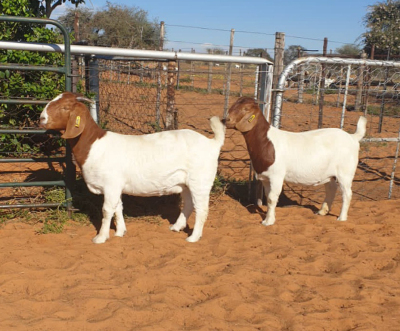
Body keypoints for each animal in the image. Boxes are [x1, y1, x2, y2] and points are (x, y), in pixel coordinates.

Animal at [223, 96, 368, 226]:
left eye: (245, 109)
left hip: (345, 172)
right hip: (330, 173)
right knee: (331, 188)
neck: (266, 142)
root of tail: (353, 137)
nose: (226, 119)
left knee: (347, 193)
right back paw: (322, 211)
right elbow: (268, 197)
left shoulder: (276, 175)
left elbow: (272, 198)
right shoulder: (265, 177)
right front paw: (270, 217)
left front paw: (268, 222)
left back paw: (341, 218)